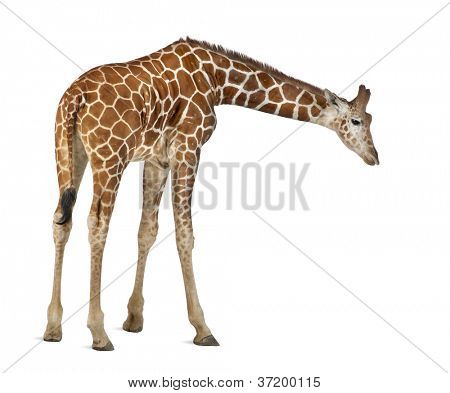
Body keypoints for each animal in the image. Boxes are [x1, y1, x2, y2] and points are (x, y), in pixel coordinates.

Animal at [44, 36, 378, 350]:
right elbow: (185, 234)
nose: (374, 157)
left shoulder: (157, 158)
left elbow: (147, 230)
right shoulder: (188, 146)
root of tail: (75, 98)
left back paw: (53, 326)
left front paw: (134, 318)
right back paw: (98, 333)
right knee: (97, 223)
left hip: (69, 150)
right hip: (110, 156)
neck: (218, 80)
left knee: (61, 220)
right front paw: (202, 327)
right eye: (356, 121)